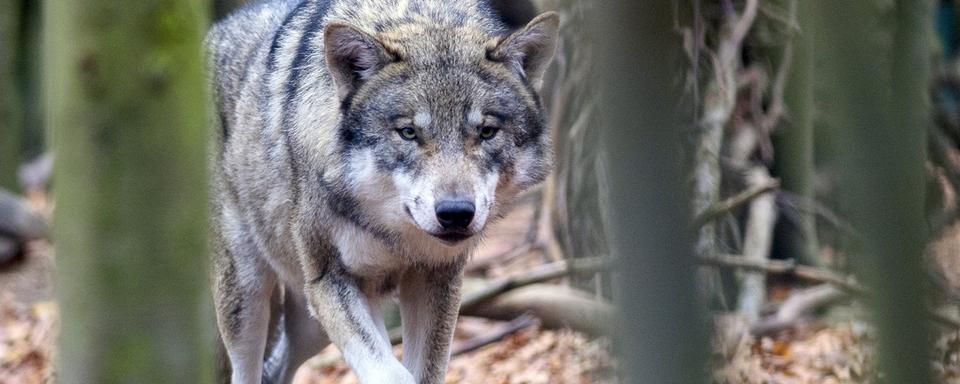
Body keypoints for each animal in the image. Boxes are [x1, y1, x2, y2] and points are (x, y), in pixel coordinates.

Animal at [206, 1, 560, 382]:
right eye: (408, 132)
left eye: (486, 131)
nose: (455, 214)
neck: (392, 233)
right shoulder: (331, 281)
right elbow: (390, 372)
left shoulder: (436, 278)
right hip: (250, 294)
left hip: (309, 325)